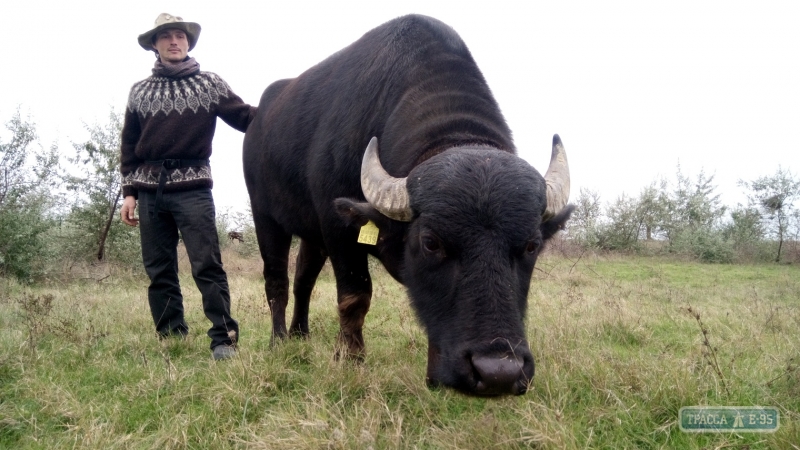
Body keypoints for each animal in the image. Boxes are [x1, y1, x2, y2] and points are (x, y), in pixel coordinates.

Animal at [241, 14, 572, 396]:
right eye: (431, 243)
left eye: (532, 245)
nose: (498, 373)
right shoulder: (339, 231)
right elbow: (355, 297)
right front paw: (350, 359)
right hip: (266, 218)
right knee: (276, 282)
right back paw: (279, 339)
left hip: (312, 234)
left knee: (303, 280)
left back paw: (300, 335)